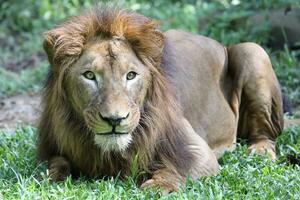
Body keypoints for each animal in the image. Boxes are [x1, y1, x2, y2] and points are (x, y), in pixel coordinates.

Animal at [37, 7, 284, 192]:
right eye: (89, 75)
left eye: (131, 75)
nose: (115, 120)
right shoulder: (50, 150)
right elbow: (53, 165)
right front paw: (51, 181)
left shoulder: (196, 151)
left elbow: (176, 170)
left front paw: (156, 186)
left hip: (253, 51)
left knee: (266, 134)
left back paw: (260, 152)